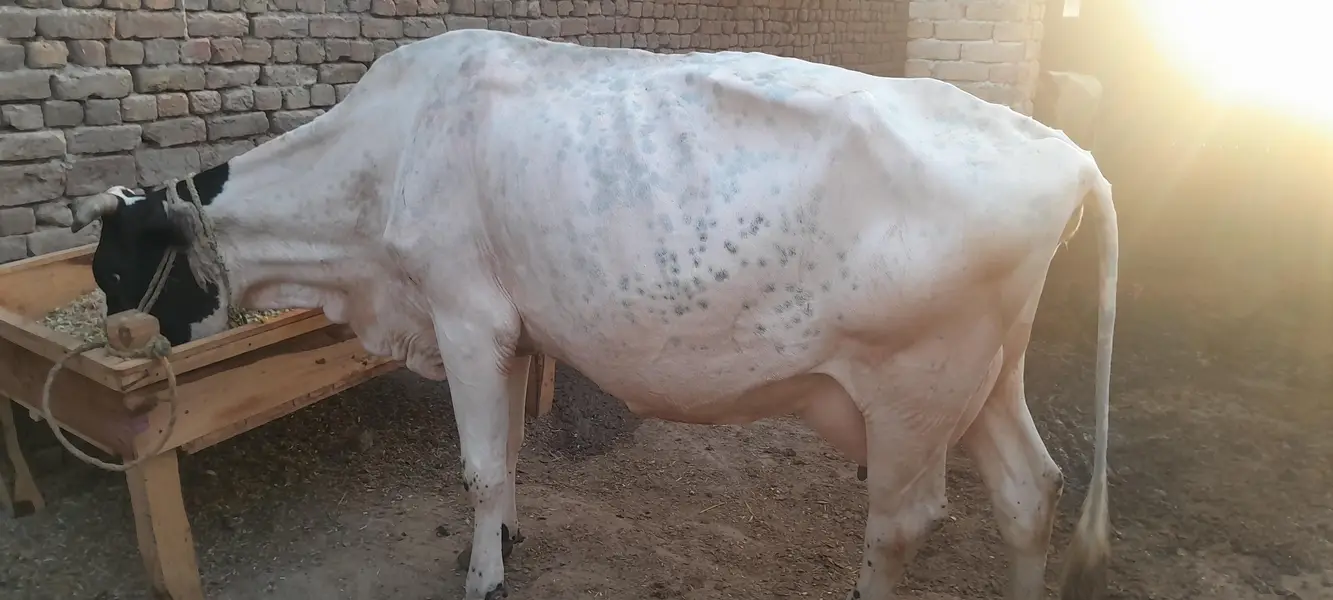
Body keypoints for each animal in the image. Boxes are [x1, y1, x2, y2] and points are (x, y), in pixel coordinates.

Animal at [69, 29, 1118, 600]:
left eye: (116, 270)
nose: (116, 341)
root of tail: (1062, 147)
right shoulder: (512, 333)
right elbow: (506, 460)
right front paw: (508, 538)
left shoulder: (464, 317)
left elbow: (478, 465)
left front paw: (484, 574)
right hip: (984, 379)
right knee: (1030, 492)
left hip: (911, 392)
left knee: (902, 523)